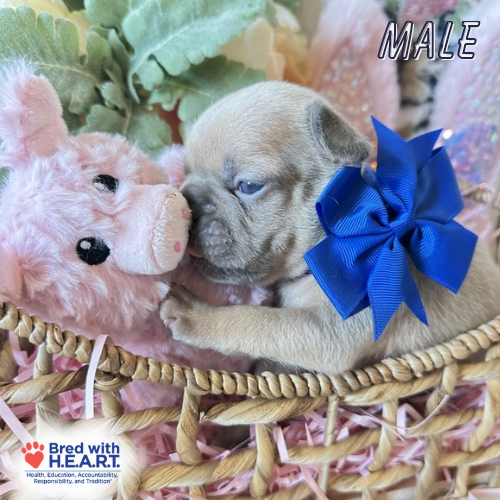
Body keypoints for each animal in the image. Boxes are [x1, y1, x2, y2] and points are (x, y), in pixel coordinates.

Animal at [161, 81, 500, 375]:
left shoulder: (331, 331)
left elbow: (259, 322)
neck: (335, 240)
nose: (189, 202)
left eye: (248, 186)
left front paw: (197, 314)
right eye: (186, 173)